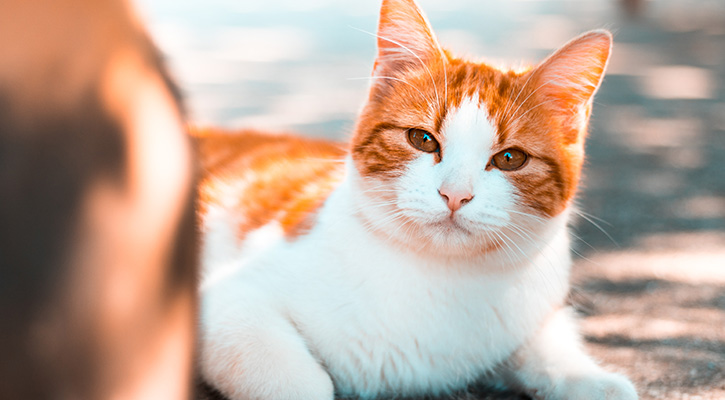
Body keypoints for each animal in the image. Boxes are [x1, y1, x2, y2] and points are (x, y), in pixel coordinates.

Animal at [195, 0, 636, 400]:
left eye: (510, 159)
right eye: (422, 139)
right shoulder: (231, 302)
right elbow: (299, 382)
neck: (436, 277)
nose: (455, 194)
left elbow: (547, 345)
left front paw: (592, 380)